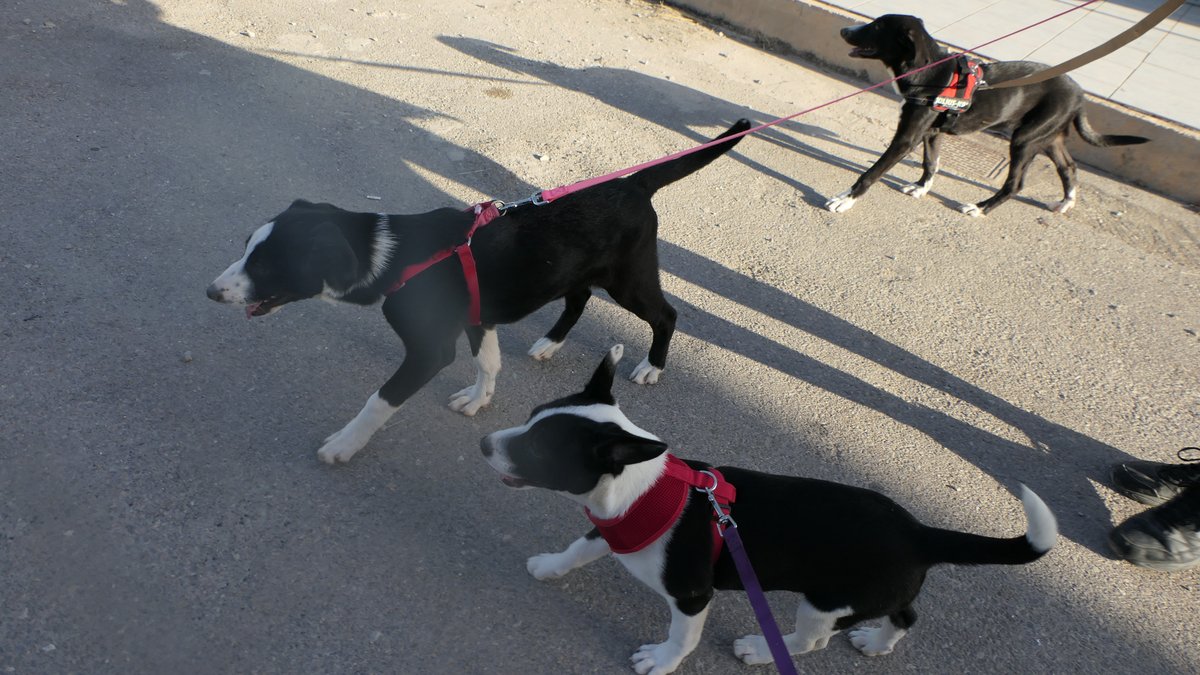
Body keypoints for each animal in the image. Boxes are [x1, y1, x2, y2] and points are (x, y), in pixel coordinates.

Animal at [207, 120, 750, 464]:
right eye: (246, 249)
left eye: (267, 265)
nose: (211, 292)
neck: (395, 254)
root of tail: (634, 183)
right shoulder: (477, 315)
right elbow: (488, 362)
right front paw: (479, 398)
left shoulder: (430, 350)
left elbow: (379, 402)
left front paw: (345, 444)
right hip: (579, 272)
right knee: (578, 300)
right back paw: (550, 342)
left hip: (629, 278)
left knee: (666, 315)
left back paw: (652, 367)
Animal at [481, 345, 1057, 674]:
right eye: (531, 415)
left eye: (540, 450)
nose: (486, 443)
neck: (639, 490)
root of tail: (920, 532)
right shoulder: (613, 528)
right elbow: (578, 549)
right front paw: (550, 566)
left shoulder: (691, 595)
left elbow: (681, 636)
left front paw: (662, 661)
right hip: (877, 592)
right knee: (906, 614)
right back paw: (875, 642)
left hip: (824, 602)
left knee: (812, 640)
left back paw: (762, 650)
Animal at [826, 14, 1147, 217]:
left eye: (877, 26)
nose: (843, 31)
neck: (929, 72)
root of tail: (1080, 95)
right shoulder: (931, 132)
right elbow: (931, 163)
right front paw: (921, 188)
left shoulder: (907, 137)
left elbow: (872, 172)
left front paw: (845, 199)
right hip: (1047, 137)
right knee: (1068, 168)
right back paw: (1064, 204)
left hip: (1025, 139)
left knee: (1015, 184)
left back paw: (980, 208)